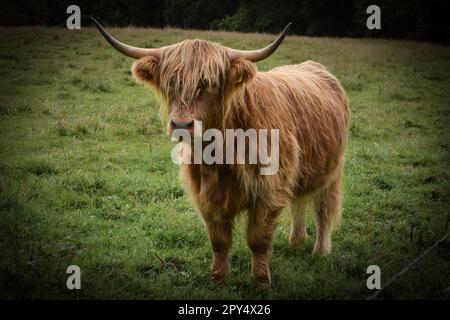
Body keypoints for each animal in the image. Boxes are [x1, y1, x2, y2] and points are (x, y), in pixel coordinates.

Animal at [91, 17, 350, 286]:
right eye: (171, 83)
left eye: (210, 84)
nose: (182, 124)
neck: (223, 153)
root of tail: (312, 66)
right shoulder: (207, 195)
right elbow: (219, 241)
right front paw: (218, 279)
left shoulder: (269, 191)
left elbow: (258, 240)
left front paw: (261, 282)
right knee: (299, 203)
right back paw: (296, 242)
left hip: (333, 170)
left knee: (324, 210)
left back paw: (320, 251)